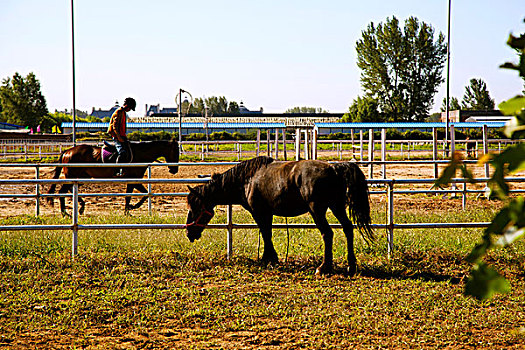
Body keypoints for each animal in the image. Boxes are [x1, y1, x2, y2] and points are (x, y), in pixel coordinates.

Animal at [47, 139, 178, 216]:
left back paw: (80, 207)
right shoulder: (134, 180)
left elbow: (135, 195)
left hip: (81, 177)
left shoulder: (133, 181)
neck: (140, 154)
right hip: (73, 175)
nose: (174, 170)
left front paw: (128, 210)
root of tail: (67, 151)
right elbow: (140, 195)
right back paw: (65, 213)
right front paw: (131, 208)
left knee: (68, 189)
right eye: (175, 152)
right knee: (62, 191)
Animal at [184, 157, 372, 276]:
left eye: (195, 207)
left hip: (317, 210)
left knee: (328, 233)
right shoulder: (266, 213)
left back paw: (323, 267)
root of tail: (334, 168)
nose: (188, 233)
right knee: (348, 229)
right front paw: (268, 258)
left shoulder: (259, 212)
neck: (246, 180)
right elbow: (267, 233)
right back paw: (351, 266)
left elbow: (266, 233)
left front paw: (269, 259)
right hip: (337, 207)